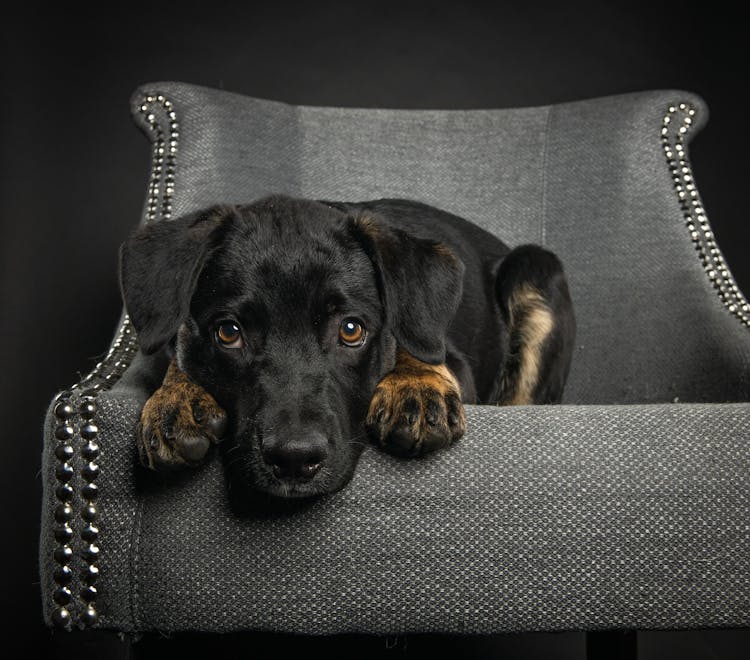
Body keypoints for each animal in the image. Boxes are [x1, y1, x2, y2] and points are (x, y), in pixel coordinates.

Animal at [120, 193, 576, 502]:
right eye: (229, 332)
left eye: (352, 330)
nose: (294, 460)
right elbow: (180, 350)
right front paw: (175, 399)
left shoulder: (455, 360)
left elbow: (410, 343)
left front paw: (414, 384)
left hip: (536, 270)